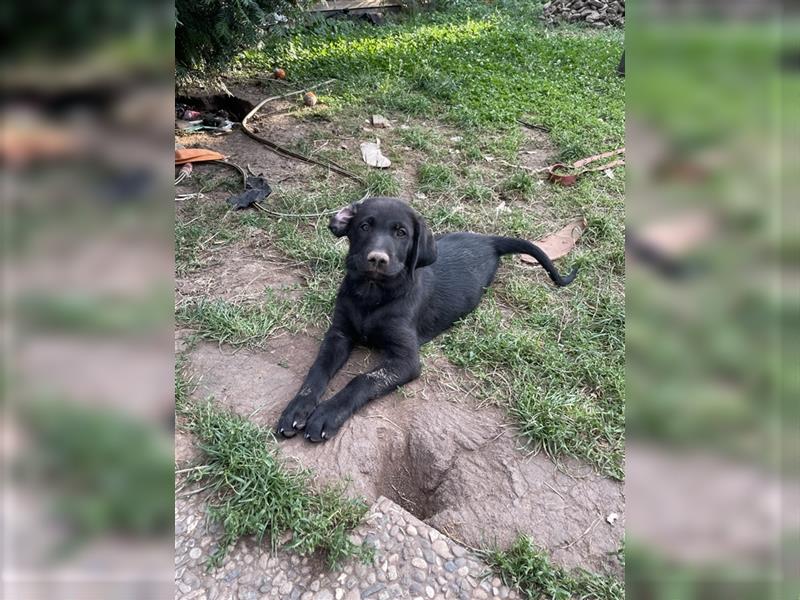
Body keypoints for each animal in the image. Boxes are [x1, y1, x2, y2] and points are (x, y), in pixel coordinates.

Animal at [276, 197, 576, 440]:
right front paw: (297, 409)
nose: (377, 259)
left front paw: (326, 414)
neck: (373, 295)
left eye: (401, 233)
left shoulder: (406, 359)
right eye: (364, 226)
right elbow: (317, 370)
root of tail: (489, 240)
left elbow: (362, 380)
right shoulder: (339, 334)